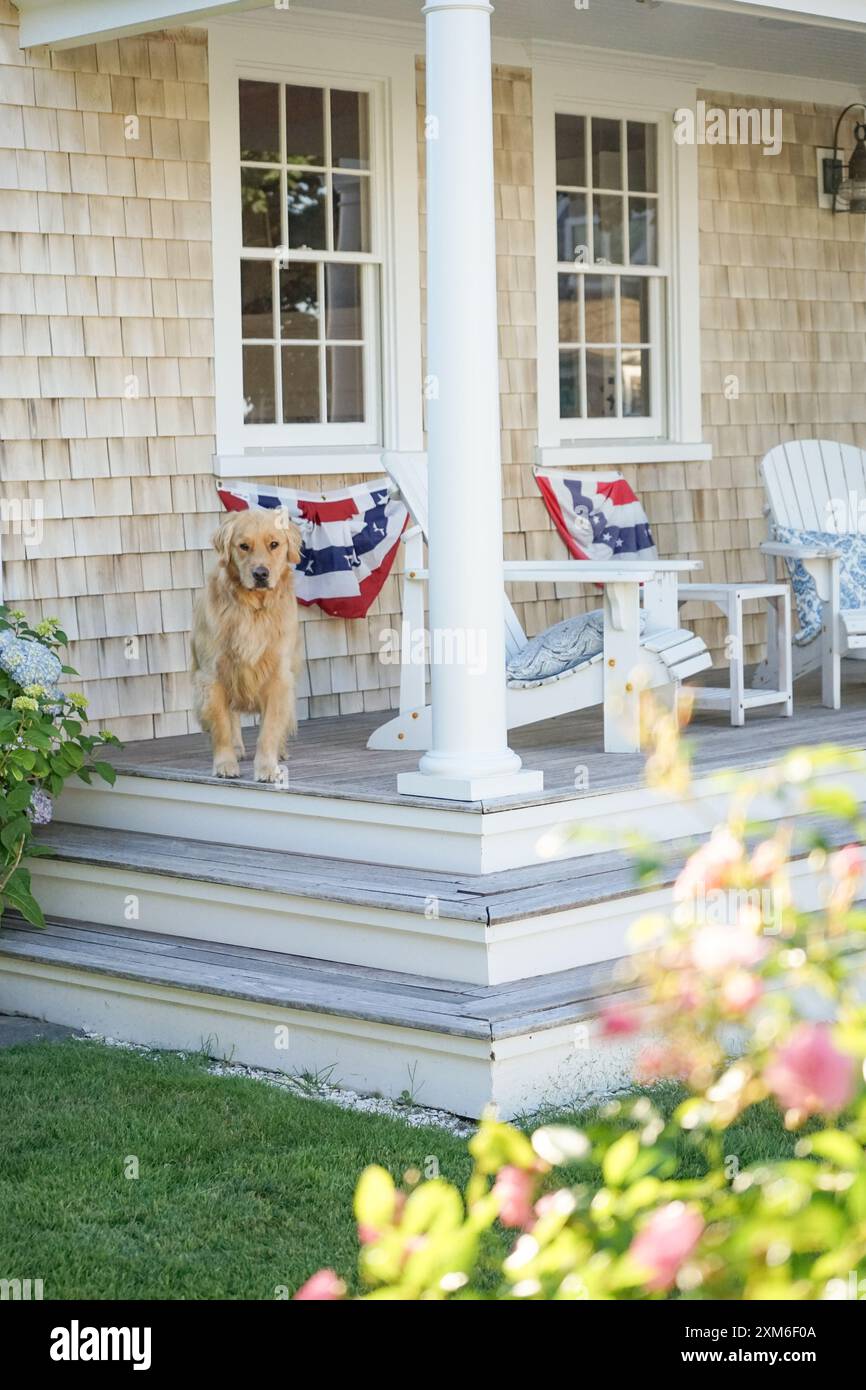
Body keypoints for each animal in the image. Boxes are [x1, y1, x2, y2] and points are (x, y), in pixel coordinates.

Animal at [193, 508, 304, 783]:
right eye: (243, 546)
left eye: (274, 544)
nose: (261, 574)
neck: (252, 609)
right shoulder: (212, 676)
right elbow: (222, 725)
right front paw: (225, 764)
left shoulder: (278, 677)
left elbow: (270, 729)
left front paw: (267, 768)